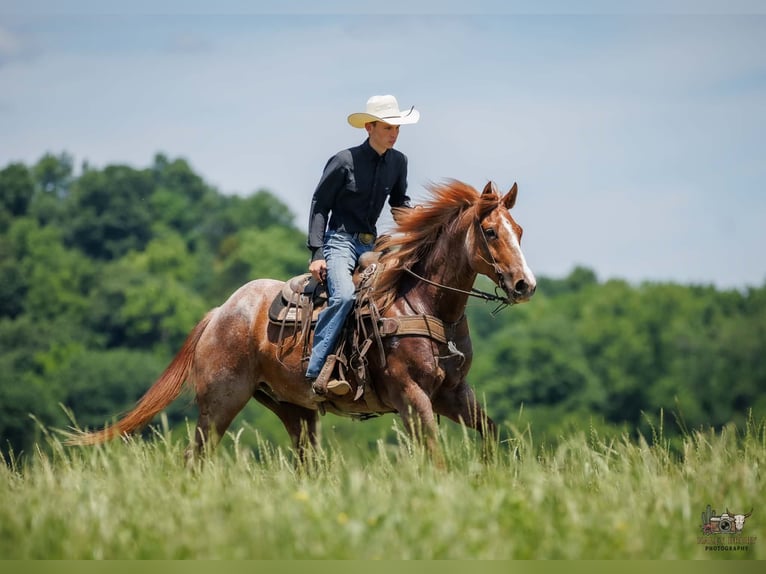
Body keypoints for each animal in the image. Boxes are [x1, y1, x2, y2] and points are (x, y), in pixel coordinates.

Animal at [67, 179, 536, 463]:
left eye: (519, 230)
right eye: (490, 232)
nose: (524, 284)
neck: (420, 303)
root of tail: (220, 313)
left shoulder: (454, 394)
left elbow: (492, 435)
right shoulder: (412, 396)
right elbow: (434, 455)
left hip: (294, 409)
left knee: (306, 461)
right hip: (220, 402)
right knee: (196, 456)